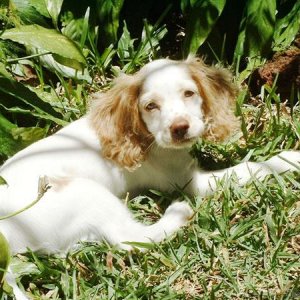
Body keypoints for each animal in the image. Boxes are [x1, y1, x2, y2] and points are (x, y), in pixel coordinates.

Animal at [0, 56, 300, 255]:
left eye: (189, 93)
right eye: (150, 106)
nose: (179, 128)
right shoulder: (188, 182)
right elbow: (253, 167)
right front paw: (288, 159)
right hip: (82, 191)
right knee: (130, 239)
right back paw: (177, 213)